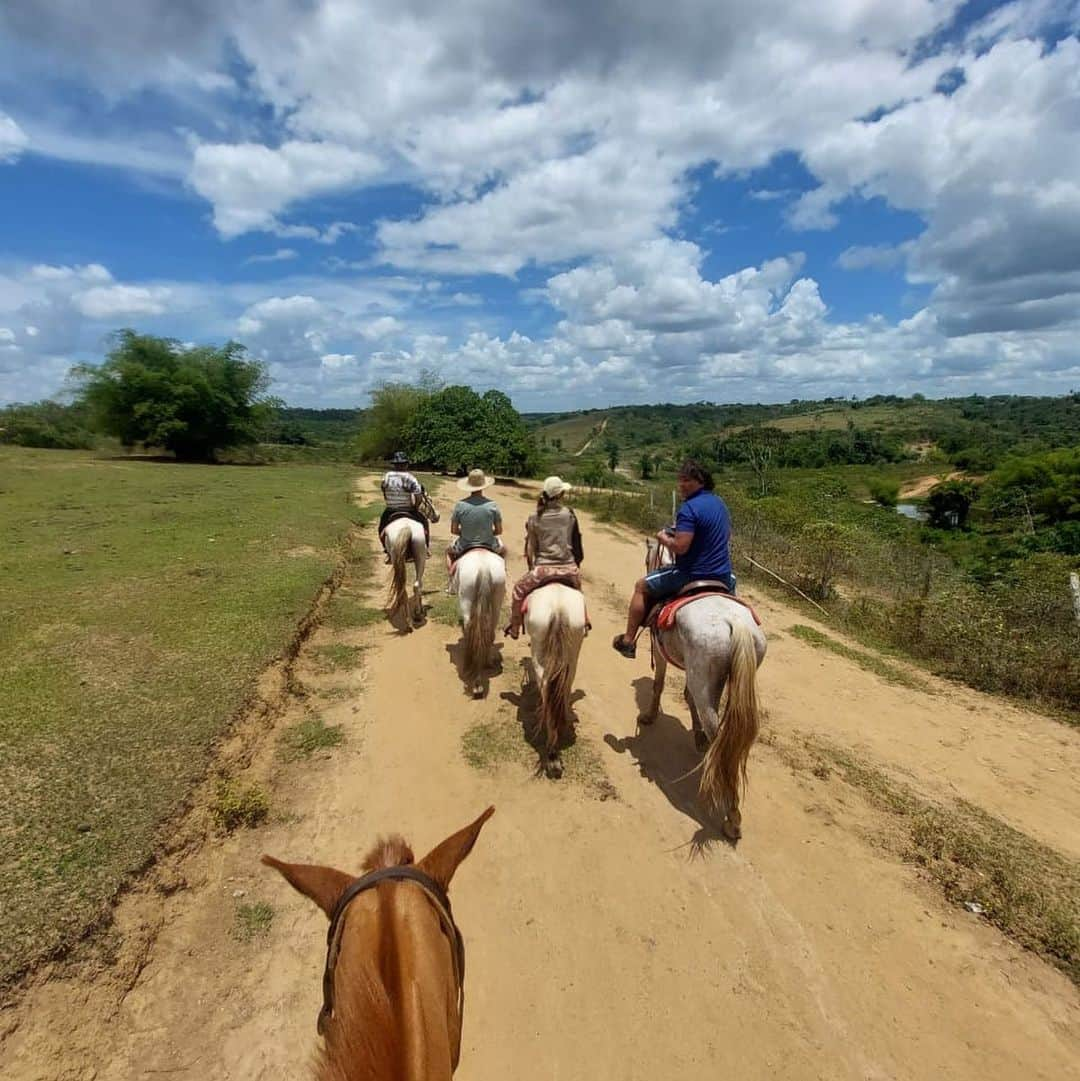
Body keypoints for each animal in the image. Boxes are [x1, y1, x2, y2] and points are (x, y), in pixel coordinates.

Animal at [387, 495, 441, 631]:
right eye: (430, 500)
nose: (437, 516)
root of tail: (406, 528)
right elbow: (420, 584)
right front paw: (420, 607)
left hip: (396, 558)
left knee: (402, 589)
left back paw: (408, 621)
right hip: (421, 557)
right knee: (416, 585)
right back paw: (416, 615)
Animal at [456, 553, 505, 696]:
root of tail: (483, 568)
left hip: (465, 597)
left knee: (470, 632)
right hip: (497, 597)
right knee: (490, 633)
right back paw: (487, 663)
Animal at [525, 583, 588, 778]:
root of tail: (558, 609)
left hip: (539, 650)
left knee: (546, 686)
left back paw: (552, 752)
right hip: (573, 650)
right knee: (565, 685)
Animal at [640, 544, 769, 838]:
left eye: (647, 559)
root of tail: (735, 623)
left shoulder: (662, 654)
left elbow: (659, 685)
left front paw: (649, 717)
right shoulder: (695, 672)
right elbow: (688, 697)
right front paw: (697, 737)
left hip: (704, 675)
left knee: (720, 737)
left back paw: (730, 814)